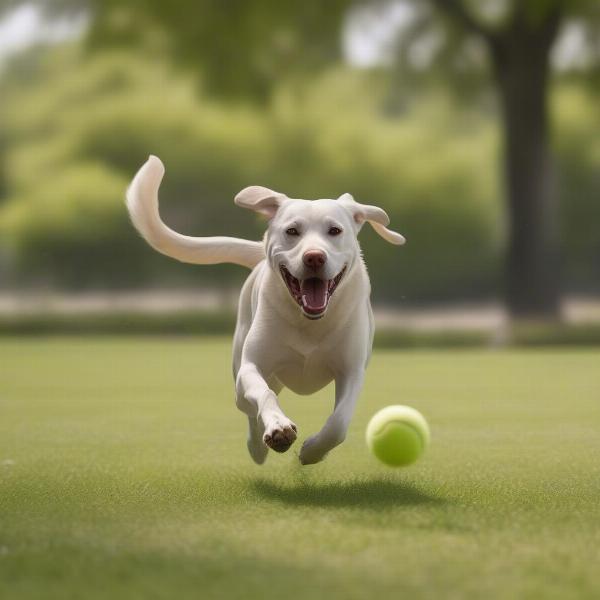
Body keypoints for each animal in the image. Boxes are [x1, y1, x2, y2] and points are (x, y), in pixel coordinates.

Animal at [128, 155, 406, 464]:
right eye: (292, 231)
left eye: (335, 231)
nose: (314, 257)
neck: (309, 322)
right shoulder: (251, 367)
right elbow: (264, 395)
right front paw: (279, 429)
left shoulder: (352, 371)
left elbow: (338, 423)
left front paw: (311, 451)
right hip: (240, 370)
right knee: (249, 409)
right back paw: (258, 446)